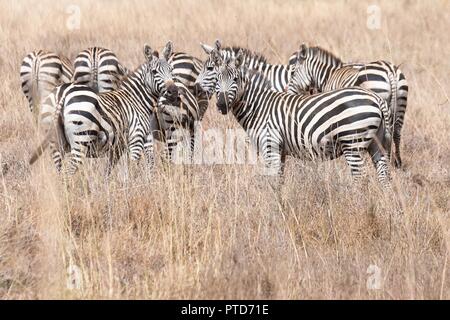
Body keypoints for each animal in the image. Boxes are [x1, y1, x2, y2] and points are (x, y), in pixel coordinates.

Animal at [29, 42, 176, 175]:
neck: (136, 99)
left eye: (171, 69)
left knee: (60, 172)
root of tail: (63, 93)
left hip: (55, 141)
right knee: (70, 171)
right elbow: (134, 168)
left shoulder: (118, 147)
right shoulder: (136, 138)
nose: (173, 91)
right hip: (80, 140)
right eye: (154, 72)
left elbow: (110, 172)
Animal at [213, 50, 392, 188]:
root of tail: (376, 98)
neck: (258, 106)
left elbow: (273, 181)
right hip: (376, 143)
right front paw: (280, 203)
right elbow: (280, 180)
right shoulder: (280, 150)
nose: (222, 104)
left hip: (352, 142)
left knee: (359, 177)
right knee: (384, 176)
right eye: (216, 80)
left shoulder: (270, 146)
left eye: (235, 79)